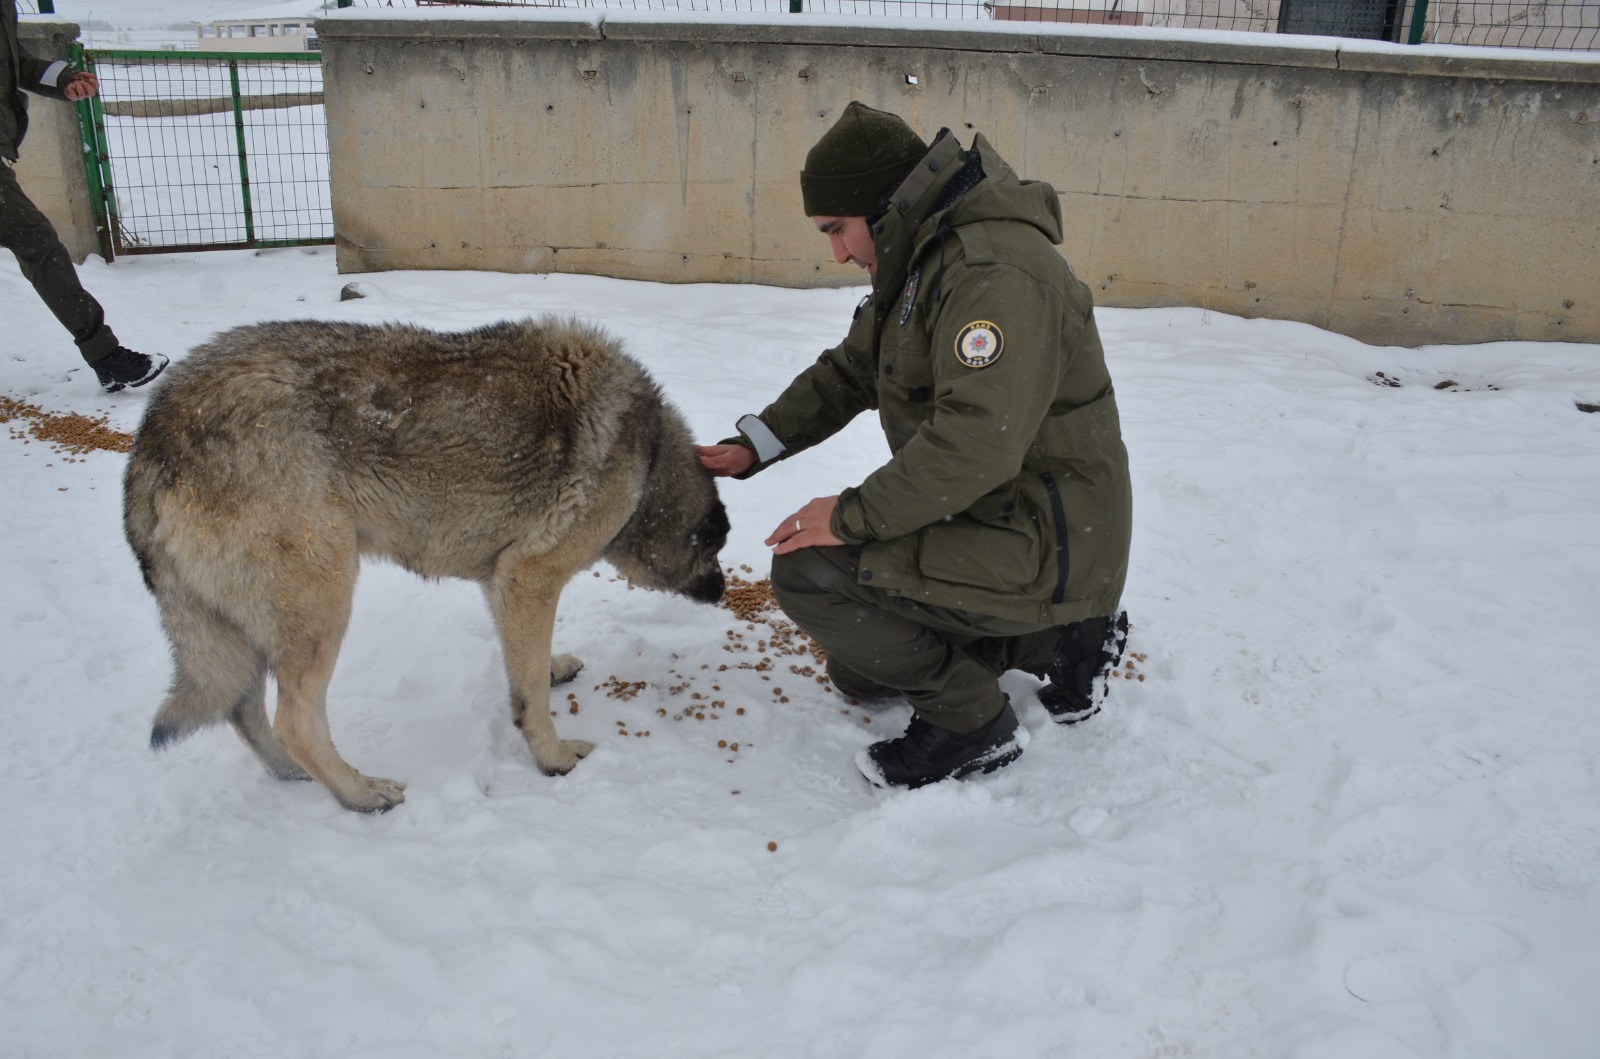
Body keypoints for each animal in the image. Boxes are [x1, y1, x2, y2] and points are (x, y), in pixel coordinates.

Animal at [124, 315, 726, 812]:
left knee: (243, 711)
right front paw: (553, 758)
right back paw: (360, 794)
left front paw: (553, 667)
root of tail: (153, 435)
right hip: (324, 603)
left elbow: (527, 665)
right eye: (716, 549)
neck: (647, 459)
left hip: (248, 629)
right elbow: (530, 697)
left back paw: (295, 775)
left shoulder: (504, 580)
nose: (721, 590)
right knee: (294, 721)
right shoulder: (530, 577)